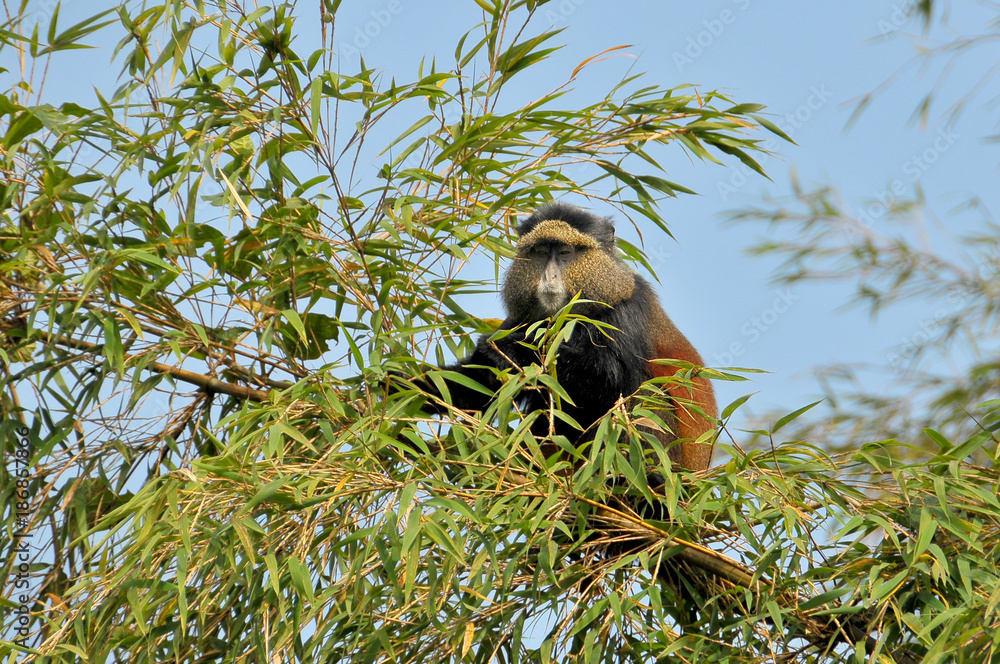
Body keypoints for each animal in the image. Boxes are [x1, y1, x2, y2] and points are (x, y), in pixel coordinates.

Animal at [401, 202, 717, 473]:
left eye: (565, 253)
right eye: (541, 252)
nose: (549, 277)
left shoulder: (626, 310)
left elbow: (615, 379)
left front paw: (514, 349)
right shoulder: (521, 318)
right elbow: (480, 384)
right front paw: (398, 387)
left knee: (644, 398)